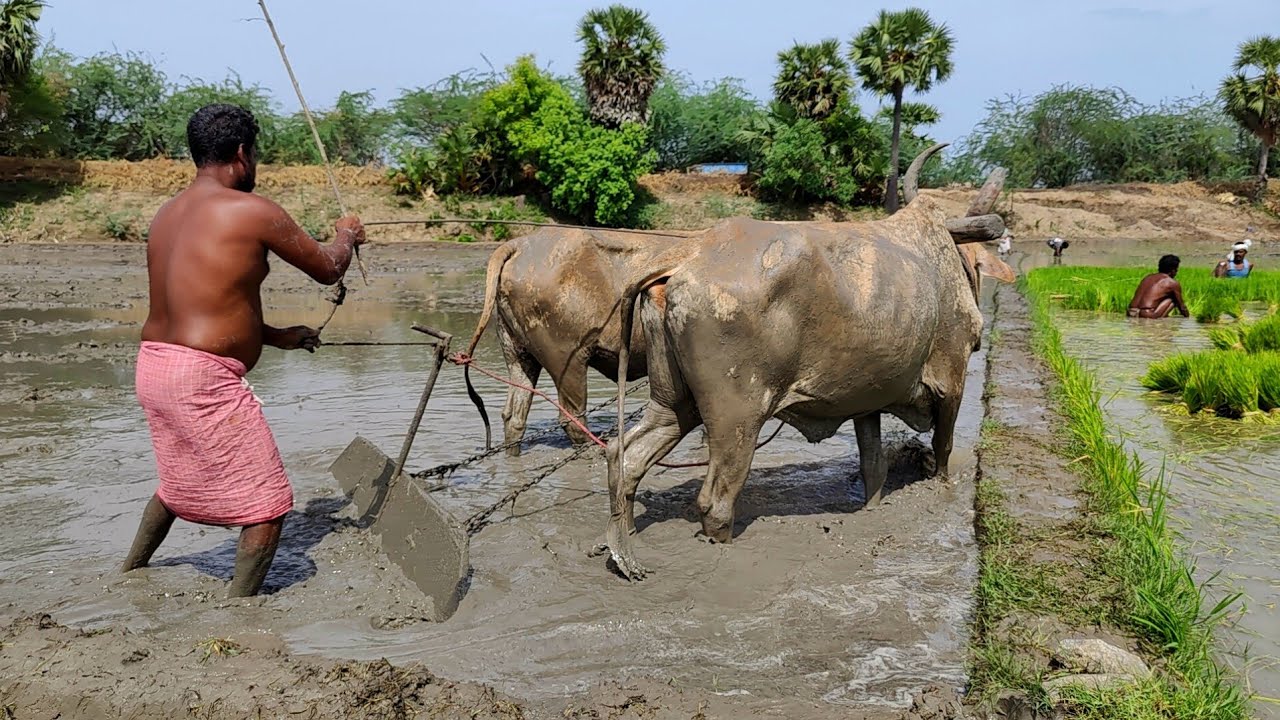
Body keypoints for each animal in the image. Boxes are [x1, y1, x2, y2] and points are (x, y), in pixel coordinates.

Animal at [590, 159, 1014, 580]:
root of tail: (688, 255)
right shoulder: (951, 382)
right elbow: (943, 453)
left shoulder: (867, 401)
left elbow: (873, 467)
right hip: (738, 418)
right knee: (715, 499)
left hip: (674, 403)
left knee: (625, 456)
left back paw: (624, 544)